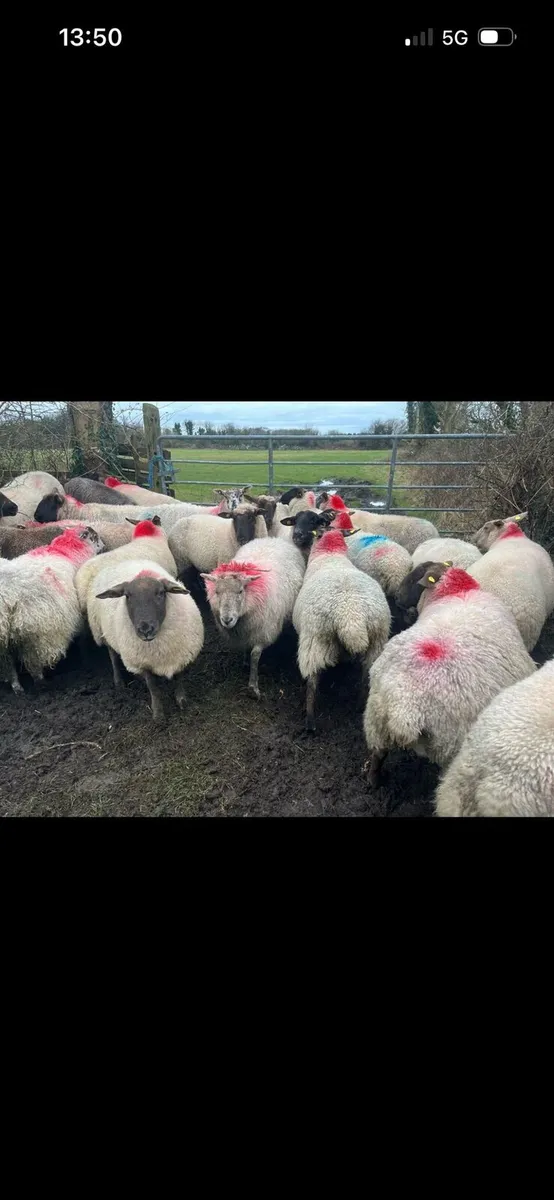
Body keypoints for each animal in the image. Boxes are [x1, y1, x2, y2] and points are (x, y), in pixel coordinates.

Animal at [0, 526, 104, 692]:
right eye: (94, 537)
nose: (104, 546)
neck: (65, 552)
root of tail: (7, 594)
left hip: (4, 637)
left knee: (8, 662)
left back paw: (17, 688)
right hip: (35, 630)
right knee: (33, 662)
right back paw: (41, 683)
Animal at [86, 560, 204, 724]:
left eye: (160, 593)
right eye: (127, 596)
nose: (145, 629)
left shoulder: (180, 653)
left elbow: (179, 677)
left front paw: (182, 701)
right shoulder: (144, 662)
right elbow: (153, 687)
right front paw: (158, 715)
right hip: (104, 632)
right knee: (113, 656)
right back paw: (119, 682)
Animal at [201, 537, 306, 698]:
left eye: (240, 591)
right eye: (217, 592)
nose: (227, 620)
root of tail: (273, 539)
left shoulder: (264, 632)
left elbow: (255, 656)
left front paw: (253, 687)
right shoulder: (245, 632)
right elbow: (246, 648)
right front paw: (245, 663)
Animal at [292, 522, 391, 730]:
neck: (331, 555)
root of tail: (351, 616)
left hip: (314, 641)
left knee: (312, 680)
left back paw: (310, 721)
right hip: (376, 642)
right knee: (365, 675)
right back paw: (360, 704)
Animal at [363, 562, 537, 786]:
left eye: (415, 578)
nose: (398, 598)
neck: (457, 591)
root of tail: (405, 706)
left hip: (376, 719)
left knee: (378, 753)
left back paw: (373, 780)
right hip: (450, 745)